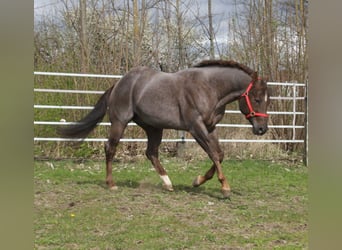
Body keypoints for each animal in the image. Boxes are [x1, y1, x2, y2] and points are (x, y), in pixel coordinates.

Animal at [59, 60, 272, 197]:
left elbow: (219, 154)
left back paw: (168, 184)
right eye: (256, 99)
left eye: (267, 100)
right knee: (110, 148)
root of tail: (119, 83)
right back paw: (111, 184)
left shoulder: (211, 127)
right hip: (119, 122)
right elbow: (213, 154)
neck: (209, 88)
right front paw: (225, 188)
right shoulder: (196, 127)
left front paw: (198, 180)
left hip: (154, 128)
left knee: (151, 153)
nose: (262, 129)